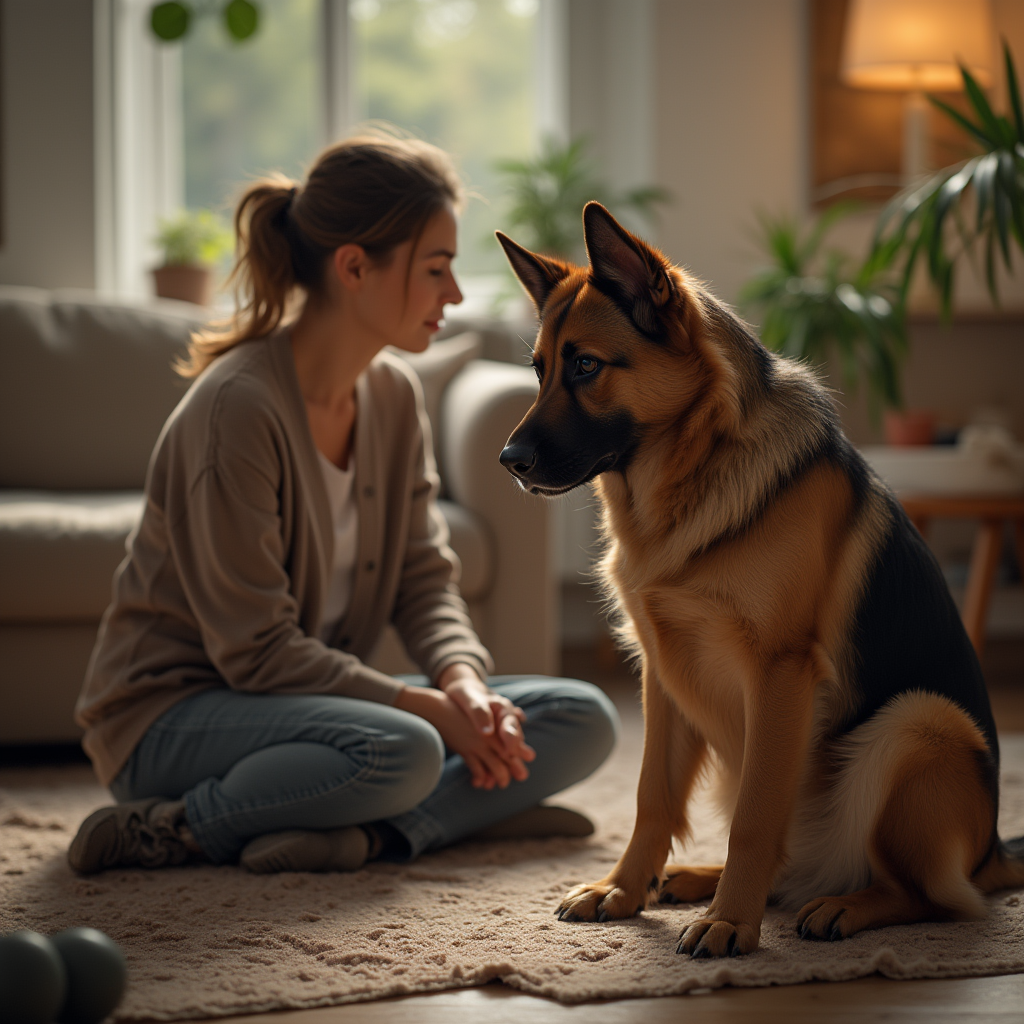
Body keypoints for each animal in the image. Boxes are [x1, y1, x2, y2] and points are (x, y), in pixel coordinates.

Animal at [495, 203, 1024, 954]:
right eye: (540, 371)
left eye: (587, 366)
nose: (507, 461)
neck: (692, 472)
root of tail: (994, 852)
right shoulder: (663, 675)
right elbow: (652, 797)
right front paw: (624, 890)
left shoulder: (778, 673)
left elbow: (752, 816)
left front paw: (730, 923)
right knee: (793, 866)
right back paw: (698, 879)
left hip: (918, 723)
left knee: (927, 896)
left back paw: (840, 906)